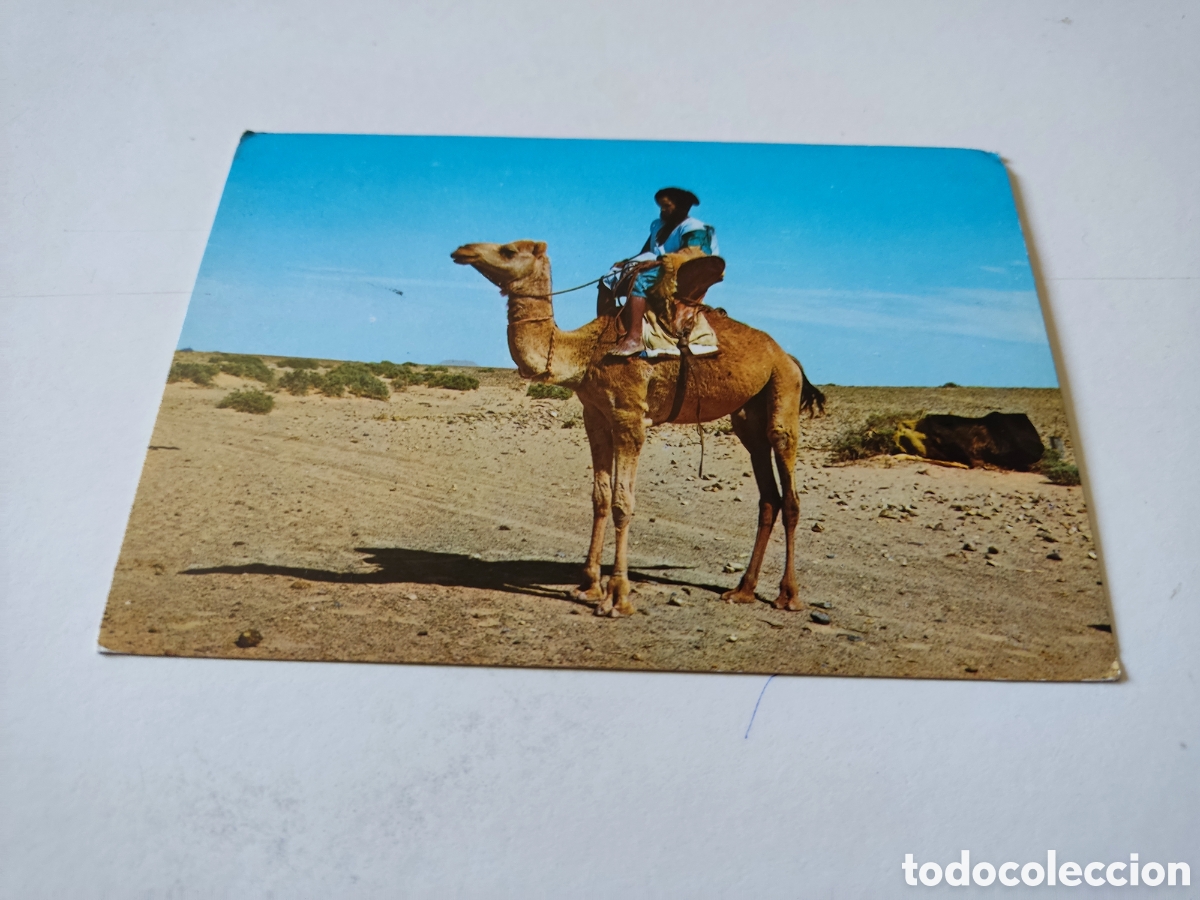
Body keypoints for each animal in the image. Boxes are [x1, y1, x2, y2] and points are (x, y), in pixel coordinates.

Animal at [450, 240, 825, 617]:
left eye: (509, 250)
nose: (462, 250)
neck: (587, 352)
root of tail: (788, 357)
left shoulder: (629, 416)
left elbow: (622, 502)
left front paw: (617, 596)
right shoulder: (595, 416)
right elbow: (600, 497)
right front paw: (588, 586)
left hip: (783, 392)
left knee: (790, 493)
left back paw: (788, 596)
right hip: (748, 415)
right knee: (769, 496)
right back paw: (742, 590)